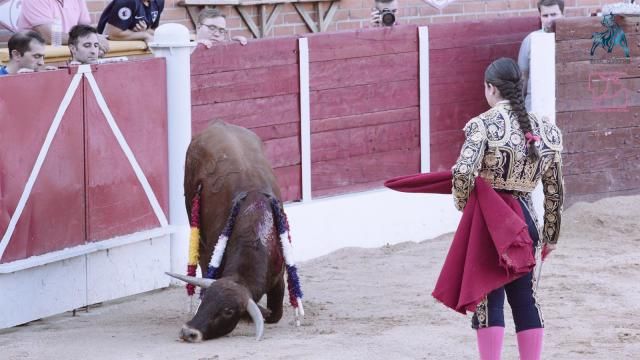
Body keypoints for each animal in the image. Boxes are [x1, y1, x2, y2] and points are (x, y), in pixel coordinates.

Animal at [168, 122, 302, 342]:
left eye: (228, 311)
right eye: (205, 301)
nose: (189, 332)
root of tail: (218, 124)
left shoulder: (278, 278)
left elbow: (275, 314)